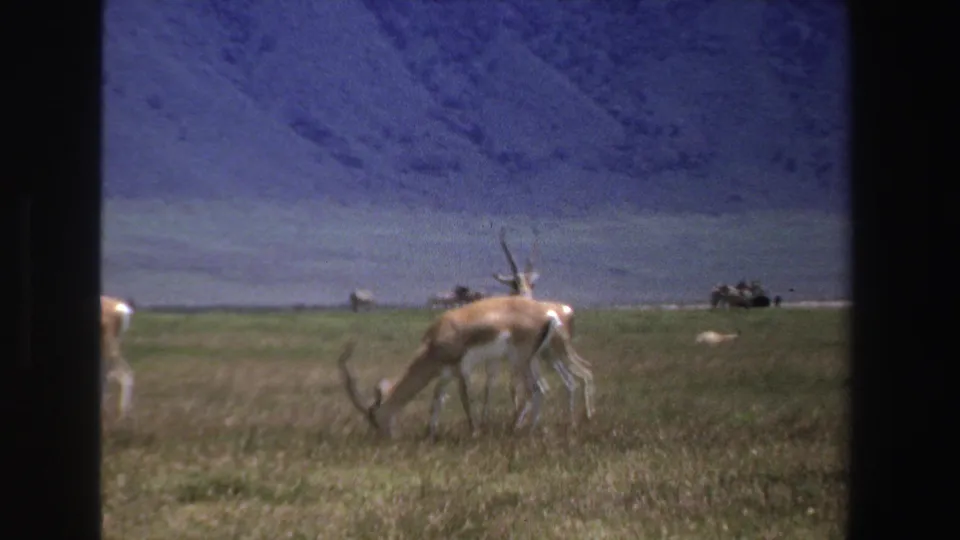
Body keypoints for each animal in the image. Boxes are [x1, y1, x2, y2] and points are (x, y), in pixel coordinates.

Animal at [338, 295, 594, 439]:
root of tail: (551, 315)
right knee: (545, 388)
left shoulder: (462, 369)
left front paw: (474, 431)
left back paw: (526, 432)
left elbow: (466, 400)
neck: (436, 339)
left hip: (521, 360)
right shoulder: (445, 374)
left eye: (374, 416)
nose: (383, 438)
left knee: (538, 389)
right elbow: (436, 400)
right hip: (532, 360)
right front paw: (430, 433)